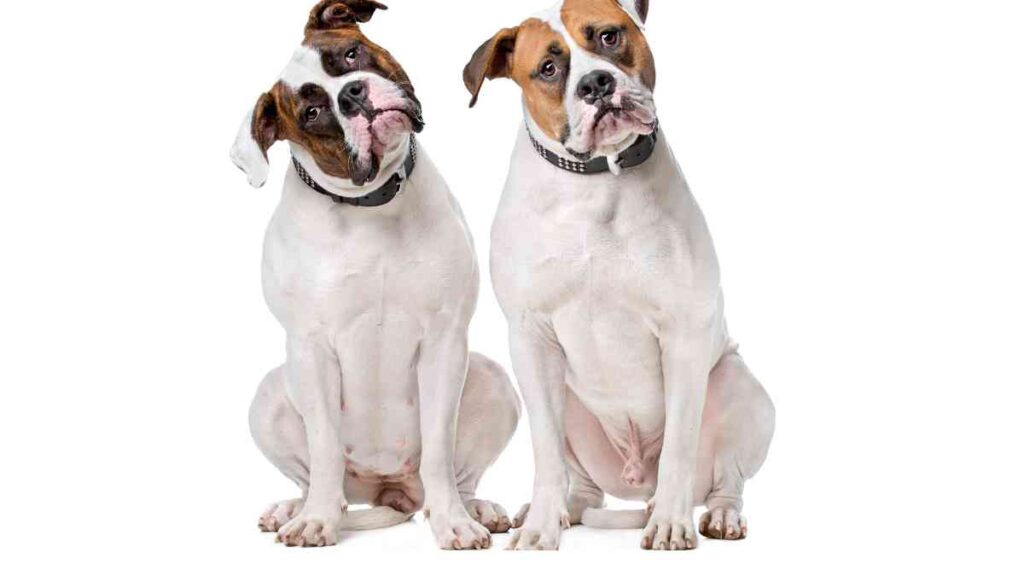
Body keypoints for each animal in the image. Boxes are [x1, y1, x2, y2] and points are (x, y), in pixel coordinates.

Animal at [232, 0, 520, 545]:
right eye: (312, 114)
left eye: (351, 54)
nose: (352, 94)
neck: (372, 204)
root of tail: (388, 489)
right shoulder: (311, 349)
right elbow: (323, 447)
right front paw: (318, 520)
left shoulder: (444, 340)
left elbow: (439, 449)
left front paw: (453, 523)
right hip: (269, 396)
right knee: (312, 474)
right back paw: (296, 508)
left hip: (493, 381)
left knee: (458, 473)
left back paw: (477, 509)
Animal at [464, 0, 774, 549]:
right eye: (548, 68)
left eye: (609, 37)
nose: (596, 84)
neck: (598, 182)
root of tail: (634, 478)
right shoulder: (530, 337)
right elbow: (545, 452)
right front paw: (541, 528)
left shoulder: (683, 335)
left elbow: (678, 447)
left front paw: (671, 523)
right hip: (566, 401)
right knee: (580, 483)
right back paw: (555, 511)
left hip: (740, 388)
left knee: (725, 479)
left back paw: (716, 514)